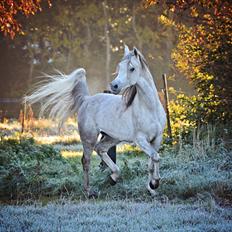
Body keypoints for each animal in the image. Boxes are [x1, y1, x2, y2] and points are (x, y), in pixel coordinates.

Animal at [25, 44, 167, 196]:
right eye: (119, 67)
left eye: (132, 68)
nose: (114, 86)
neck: (149, 108)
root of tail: (86, 99)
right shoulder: (140, 140)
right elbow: (155, 157)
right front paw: (155, 183)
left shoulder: (156, 139)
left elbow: (152, 161)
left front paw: (152, 188)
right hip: (89, 138)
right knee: (86, 161)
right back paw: (89, 191)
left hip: (112, 137)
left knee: (100, 149)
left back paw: (113, 177)